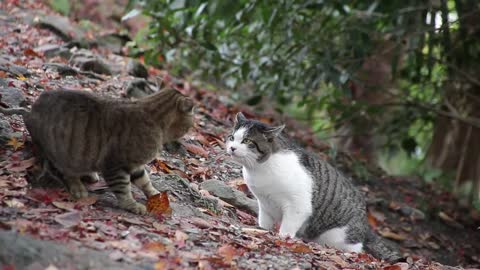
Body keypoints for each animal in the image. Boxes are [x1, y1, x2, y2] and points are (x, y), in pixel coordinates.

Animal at [2, 88, 193, 213]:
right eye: (190, 124)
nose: (193, 128)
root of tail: (30, 111)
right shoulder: (115, 164)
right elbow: (123, 188)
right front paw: (131, 205)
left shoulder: (135, 165)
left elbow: (145, 181)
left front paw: (155, 195)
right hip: (62, 152)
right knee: (64, 172)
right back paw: (78, 188)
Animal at [225, 112, 402, 262]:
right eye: (232, 137)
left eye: (247, 141)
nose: (232, 148)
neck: (259, 169)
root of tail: (366, 224)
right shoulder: (265, 204)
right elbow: (264, 222)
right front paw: (261, 229)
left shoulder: (298, 206)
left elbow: (287, 228)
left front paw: (283, 239)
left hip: (338, 236)